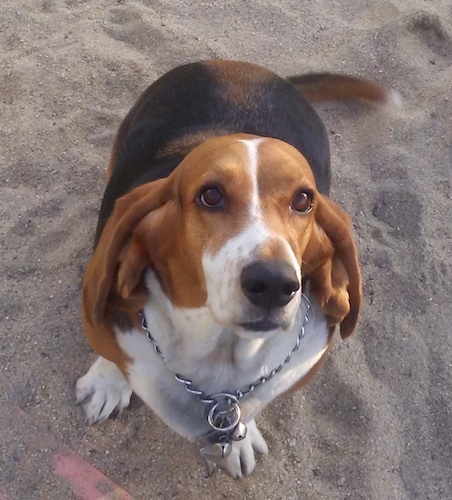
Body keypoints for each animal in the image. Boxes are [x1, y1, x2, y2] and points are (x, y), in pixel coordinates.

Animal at [76, 60, 398, 478]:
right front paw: (107, 382)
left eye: (304, 200)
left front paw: (241, 440)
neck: (220, 353)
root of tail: (248, 67)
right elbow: (114, 345)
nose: (274, 284)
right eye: (211, 195)